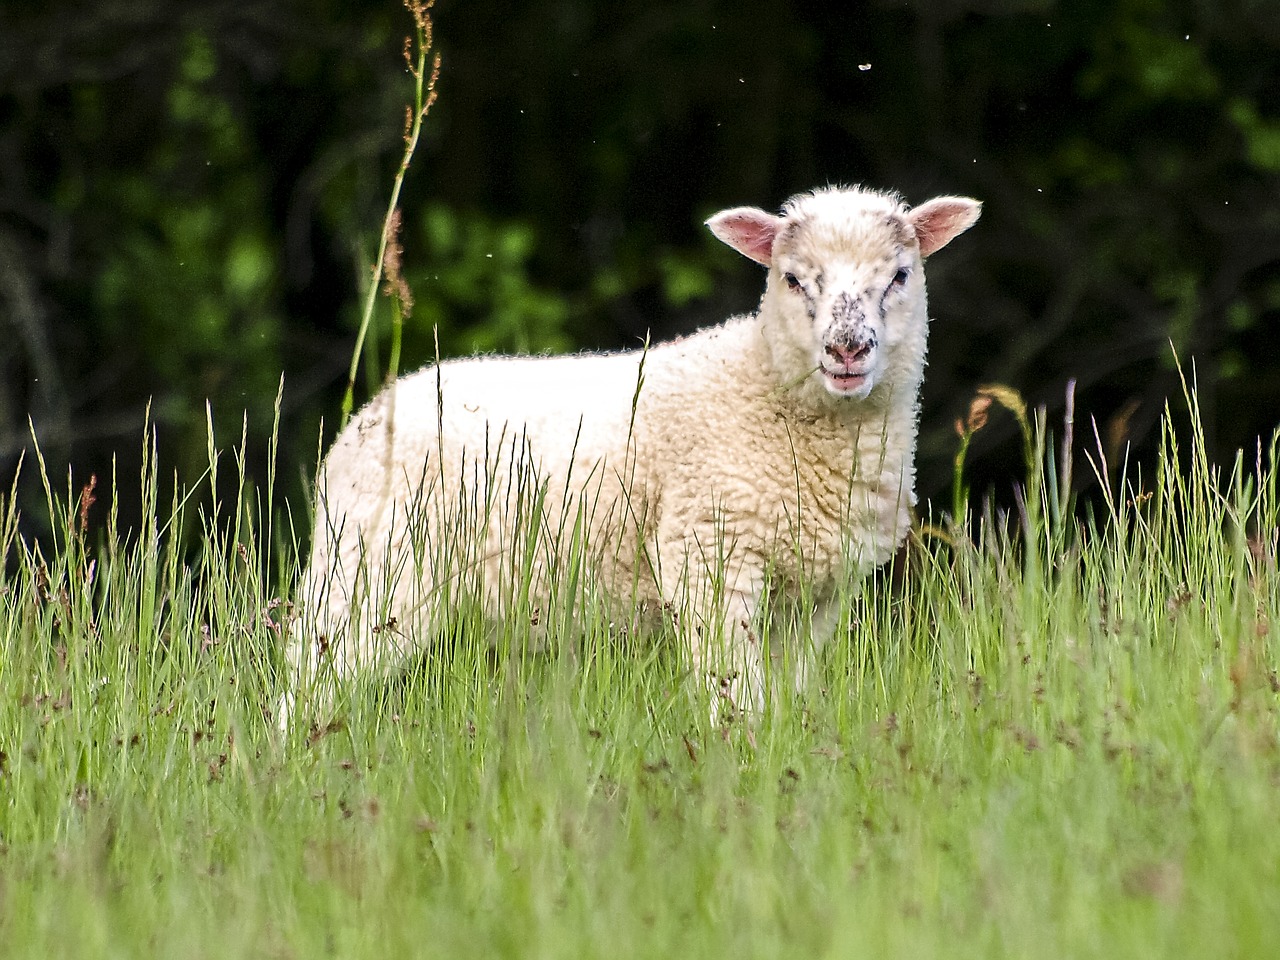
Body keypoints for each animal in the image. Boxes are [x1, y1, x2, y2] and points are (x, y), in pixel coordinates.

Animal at [280, 185, 977, 727]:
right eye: (793, 278)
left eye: (900, 276)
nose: (847, 350)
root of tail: (364, 421)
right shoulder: (710, 557)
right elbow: (734, 694)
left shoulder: (814, 597)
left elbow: (783, 693)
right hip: (370, 571)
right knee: (309, 682)